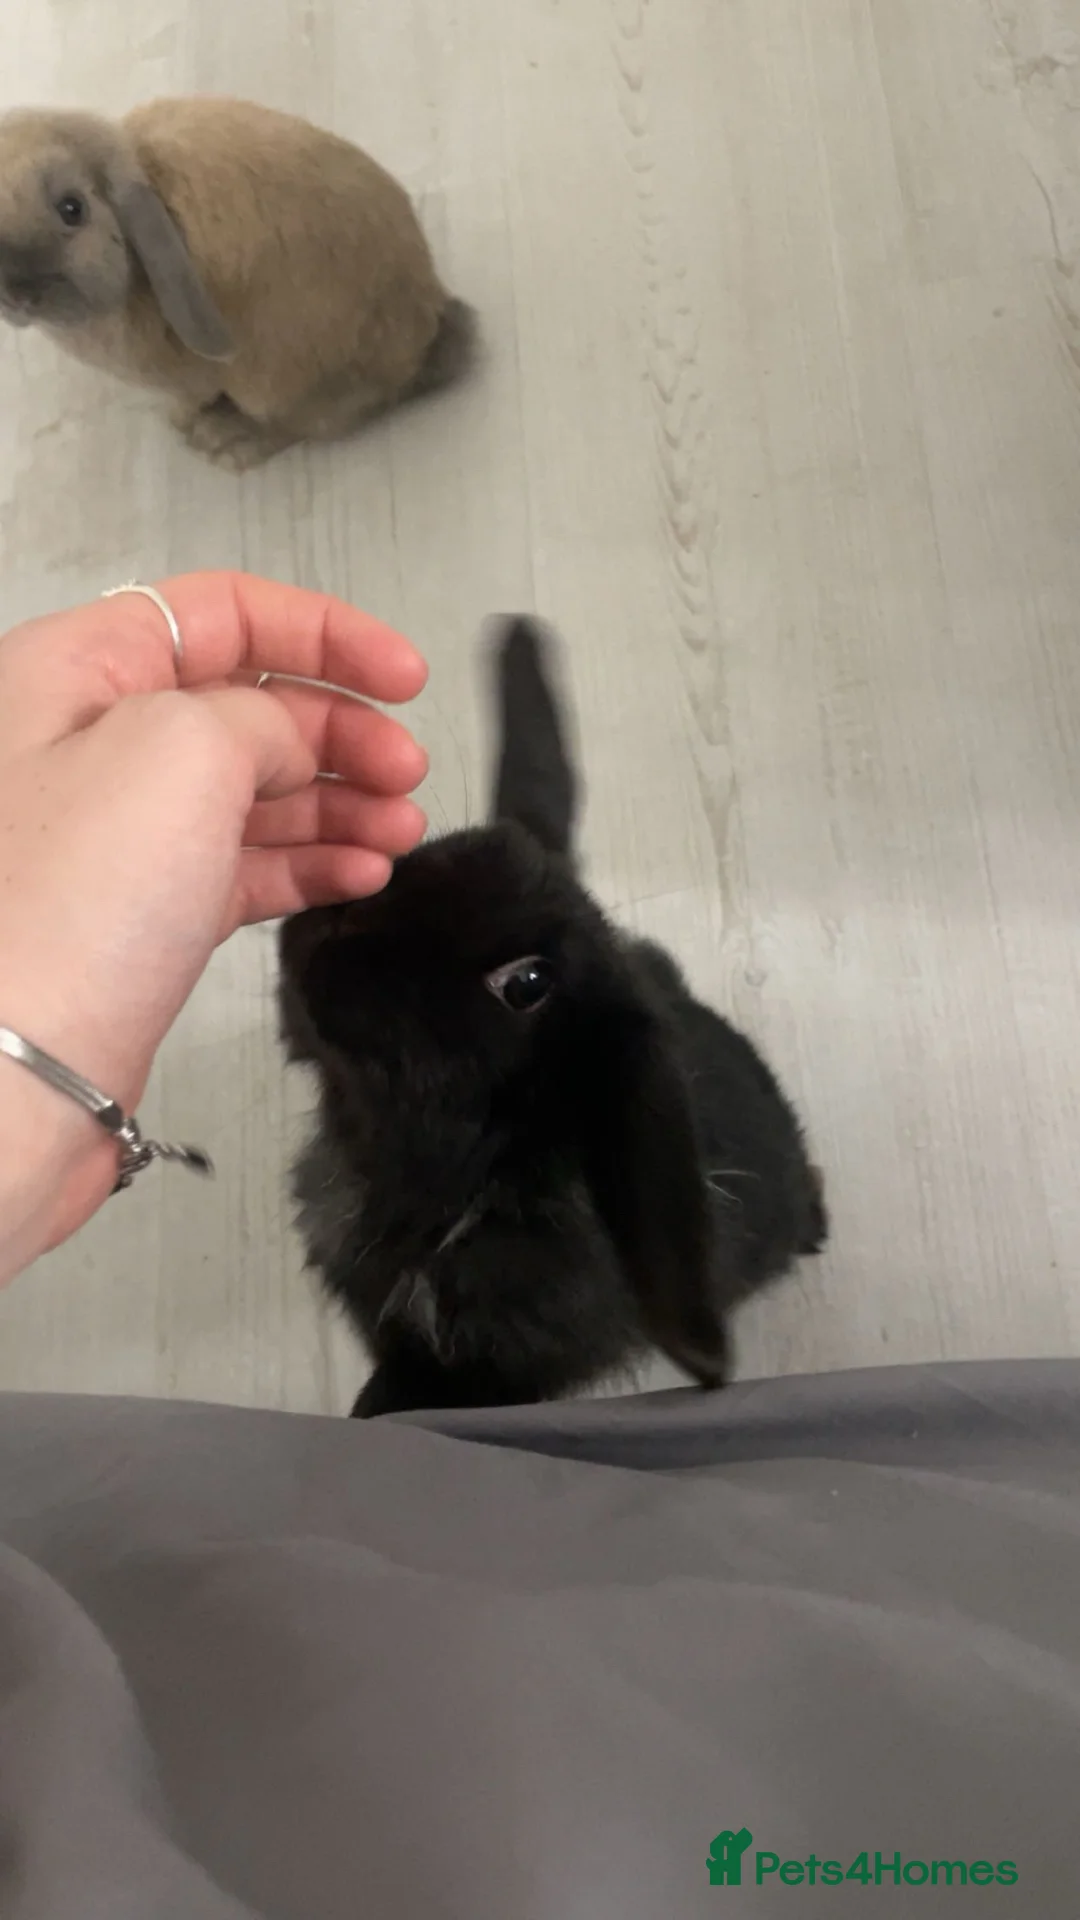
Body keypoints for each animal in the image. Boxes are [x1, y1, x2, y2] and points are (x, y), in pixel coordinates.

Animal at [0, 98, 475, 470]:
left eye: (72, 208)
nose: (19, 296)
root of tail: (427, 334)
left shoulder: (193, 380)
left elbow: (194, 397)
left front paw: (183, 421)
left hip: (278, 386)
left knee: (318, 422)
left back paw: (229, 442)